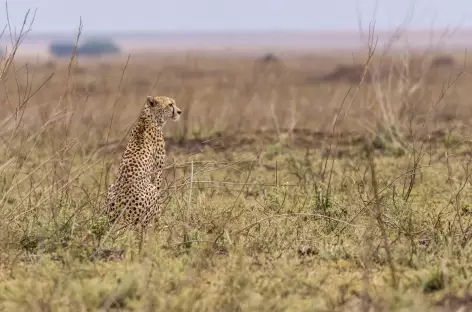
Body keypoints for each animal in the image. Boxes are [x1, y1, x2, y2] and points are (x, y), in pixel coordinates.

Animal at [104, 95, 182, 232]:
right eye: (170, 104)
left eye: (174, 103)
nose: (179, 112)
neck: (148, 117)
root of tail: (123, 217)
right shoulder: (158, 169)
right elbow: (158, 190)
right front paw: (158, 219)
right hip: (148, 192)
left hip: (111, 188)